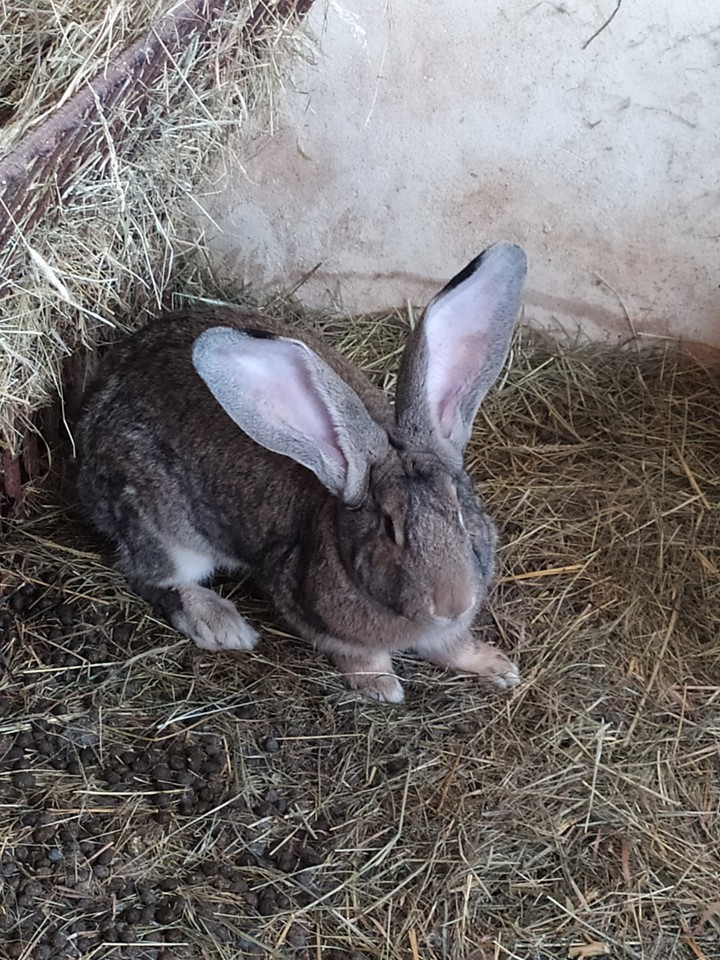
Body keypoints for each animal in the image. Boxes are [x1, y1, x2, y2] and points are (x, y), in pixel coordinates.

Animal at [75, 242, 527, 703]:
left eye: (460, 512)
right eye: (390, 528)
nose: (453, 603)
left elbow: (453, 646)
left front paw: (499, 667)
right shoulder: (309, 611)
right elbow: (358, 655)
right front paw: (382, 686)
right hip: (163, 528)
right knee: (153, 576)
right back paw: (223, 625)